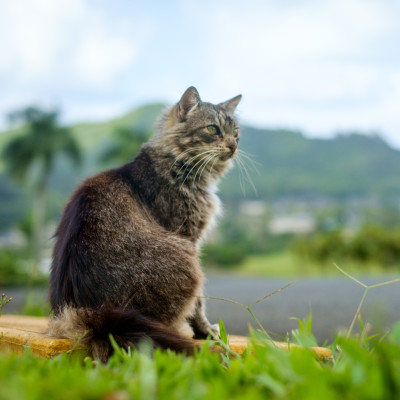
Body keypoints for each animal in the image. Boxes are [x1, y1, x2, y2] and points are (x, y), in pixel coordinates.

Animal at [47, 86, 241, 360]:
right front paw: (205, 331)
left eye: (236, 133)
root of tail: (95, 318)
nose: (234, 146)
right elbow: (199, 304)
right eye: (213, 129)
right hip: (187, 260)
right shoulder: (189, 237)